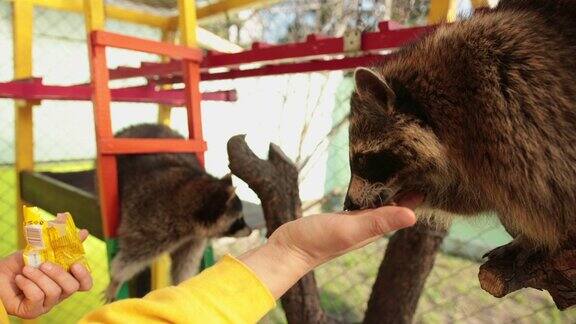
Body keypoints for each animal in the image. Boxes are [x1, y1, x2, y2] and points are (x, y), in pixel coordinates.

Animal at [103, 123, 250, 302]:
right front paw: (117, 278)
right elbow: (132, 256)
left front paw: (182, 283)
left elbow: (185, 263)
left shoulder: (194, 239)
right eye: (239, 220)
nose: (250, 231)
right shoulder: (149, 223)